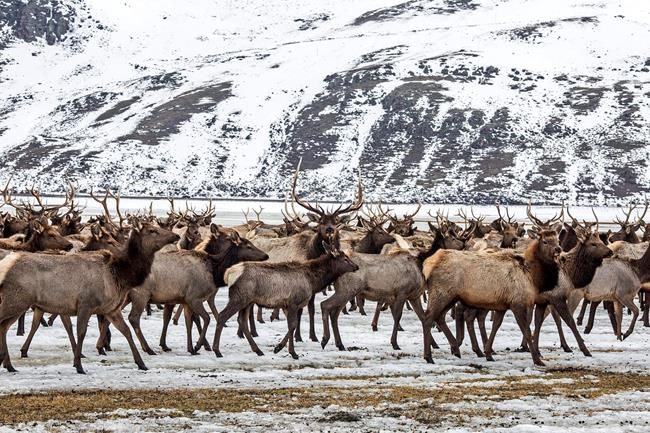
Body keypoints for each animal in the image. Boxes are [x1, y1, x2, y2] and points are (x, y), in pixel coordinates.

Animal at [0, 221, 179, 374]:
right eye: (152, 230)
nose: (176, 236)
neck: (119, 277)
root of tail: (5, 265)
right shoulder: (86, 303)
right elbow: (81, 332)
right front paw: (78, 365)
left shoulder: (111, 308)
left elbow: (126, 331)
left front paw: (141, 363)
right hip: (16, 300)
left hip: (18, 304)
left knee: (3, 327)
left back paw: (9, 365)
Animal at [213, 241, 358, 359]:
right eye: (345, 259)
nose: (356, 266)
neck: (313, 282)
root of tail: (228, 273)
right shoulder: (294, 302)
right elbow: (293, 325)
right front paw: (290, 352)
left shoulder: (286, 305)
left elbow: (292, 327)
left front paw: (280, 348)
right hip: (239, 298)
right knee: (222, 316)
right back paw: (217, 351)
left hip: (247, 301)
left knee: (241, 321)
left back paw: (258, 350)